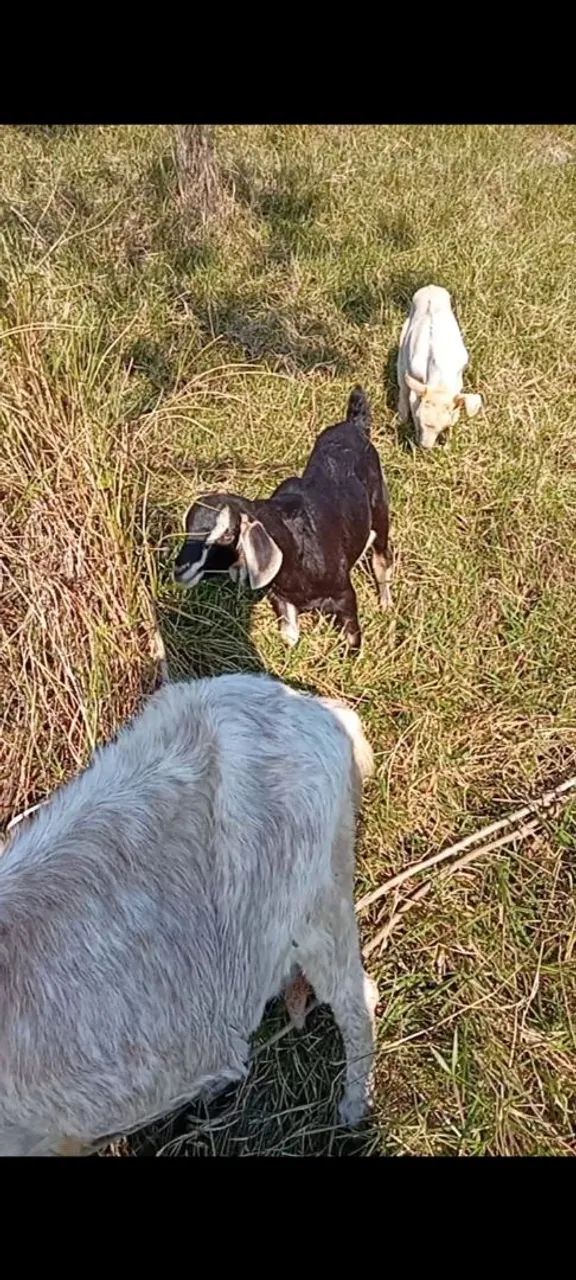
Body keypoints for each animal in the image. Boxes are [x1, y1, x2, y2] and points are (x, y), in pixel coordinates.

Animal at [173, 388, 393, 652]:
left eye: (226, 534)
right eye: (187, 527)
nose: (180, 570)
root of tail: (354, 425)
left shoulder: (344, 596)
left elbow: (352, 640)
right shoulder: (282, 599)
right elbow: (290, 637)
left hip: (381, 514)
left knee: (382, 559)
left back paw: (386, 605)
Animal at [397, 285, 482, 449]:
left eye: (444, 426)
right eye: (419, 418)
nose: (425, 446)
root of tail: (431, 287)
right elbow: (412, 401)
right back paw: (401, 417)